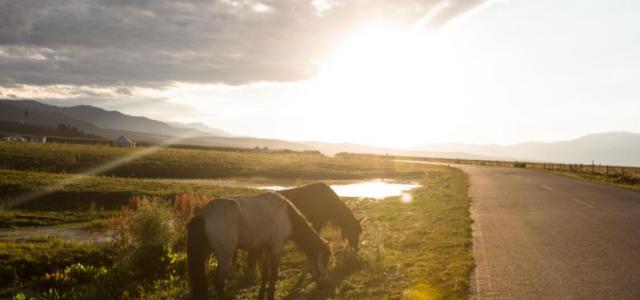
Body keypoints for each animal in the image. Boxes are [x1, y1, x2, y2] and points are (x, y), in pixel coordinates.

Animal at [186, 192, 332, 300]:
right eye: (325, 261)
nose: (326, 284)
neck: (287, 216)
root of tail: (203, 214)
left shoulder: (267, 249)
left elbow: (265, 274)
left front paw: (262, 295)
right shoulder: (277, 248)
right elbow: (273, 273)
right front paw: (271, 295)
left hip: (206, 255)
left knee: (203, 282)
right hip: (225, 257)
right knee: (219, 282)